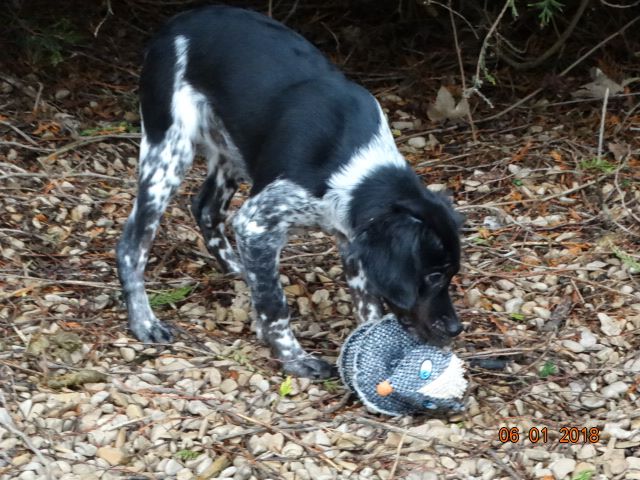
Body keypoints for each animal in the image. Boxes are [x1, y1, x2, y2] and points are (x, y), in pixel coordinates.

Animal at [116, 4, 464, 378]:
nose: (455, 328)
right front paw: (294, 357)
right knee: (132, 246)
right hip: (169, 152)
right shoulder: (256, 224)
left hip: (233, 153)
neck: (351, 161)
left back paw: (237, 268)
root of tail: (179, 21)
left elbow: (367, 303)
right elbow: (276, 306)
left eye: (451, 274)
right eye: (433, 275)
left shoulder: (350, 239)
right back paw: (144, 321)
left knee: (205, 207)